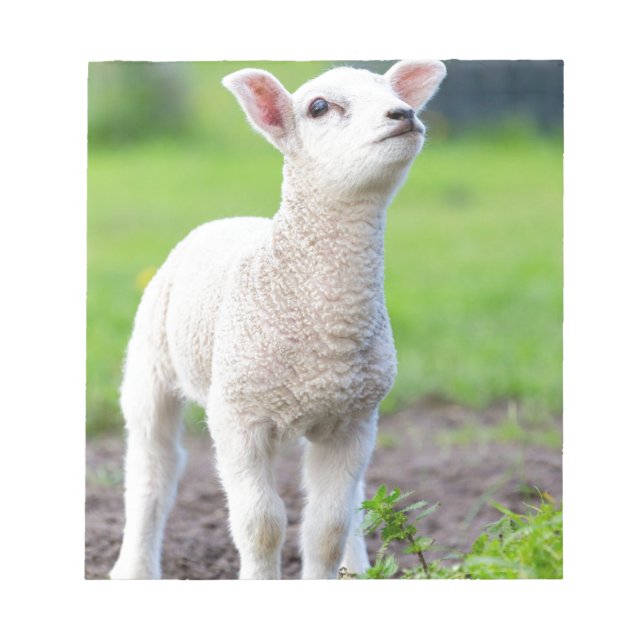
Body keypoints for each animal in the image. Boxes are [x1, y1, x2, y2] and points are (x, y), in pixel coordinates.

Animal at [109, 59, 447, 580]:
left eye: (392, 92)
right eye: (319, 107)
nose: (404, 113)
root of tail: (230, 219)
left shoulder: (352, 420)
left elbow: (328, 526)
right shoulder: (237, 416)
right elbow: (261, 523)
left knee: (356, 501)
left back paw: (357, 569)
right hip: (151, 361)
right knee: (152, 468)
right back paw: (134, 569)